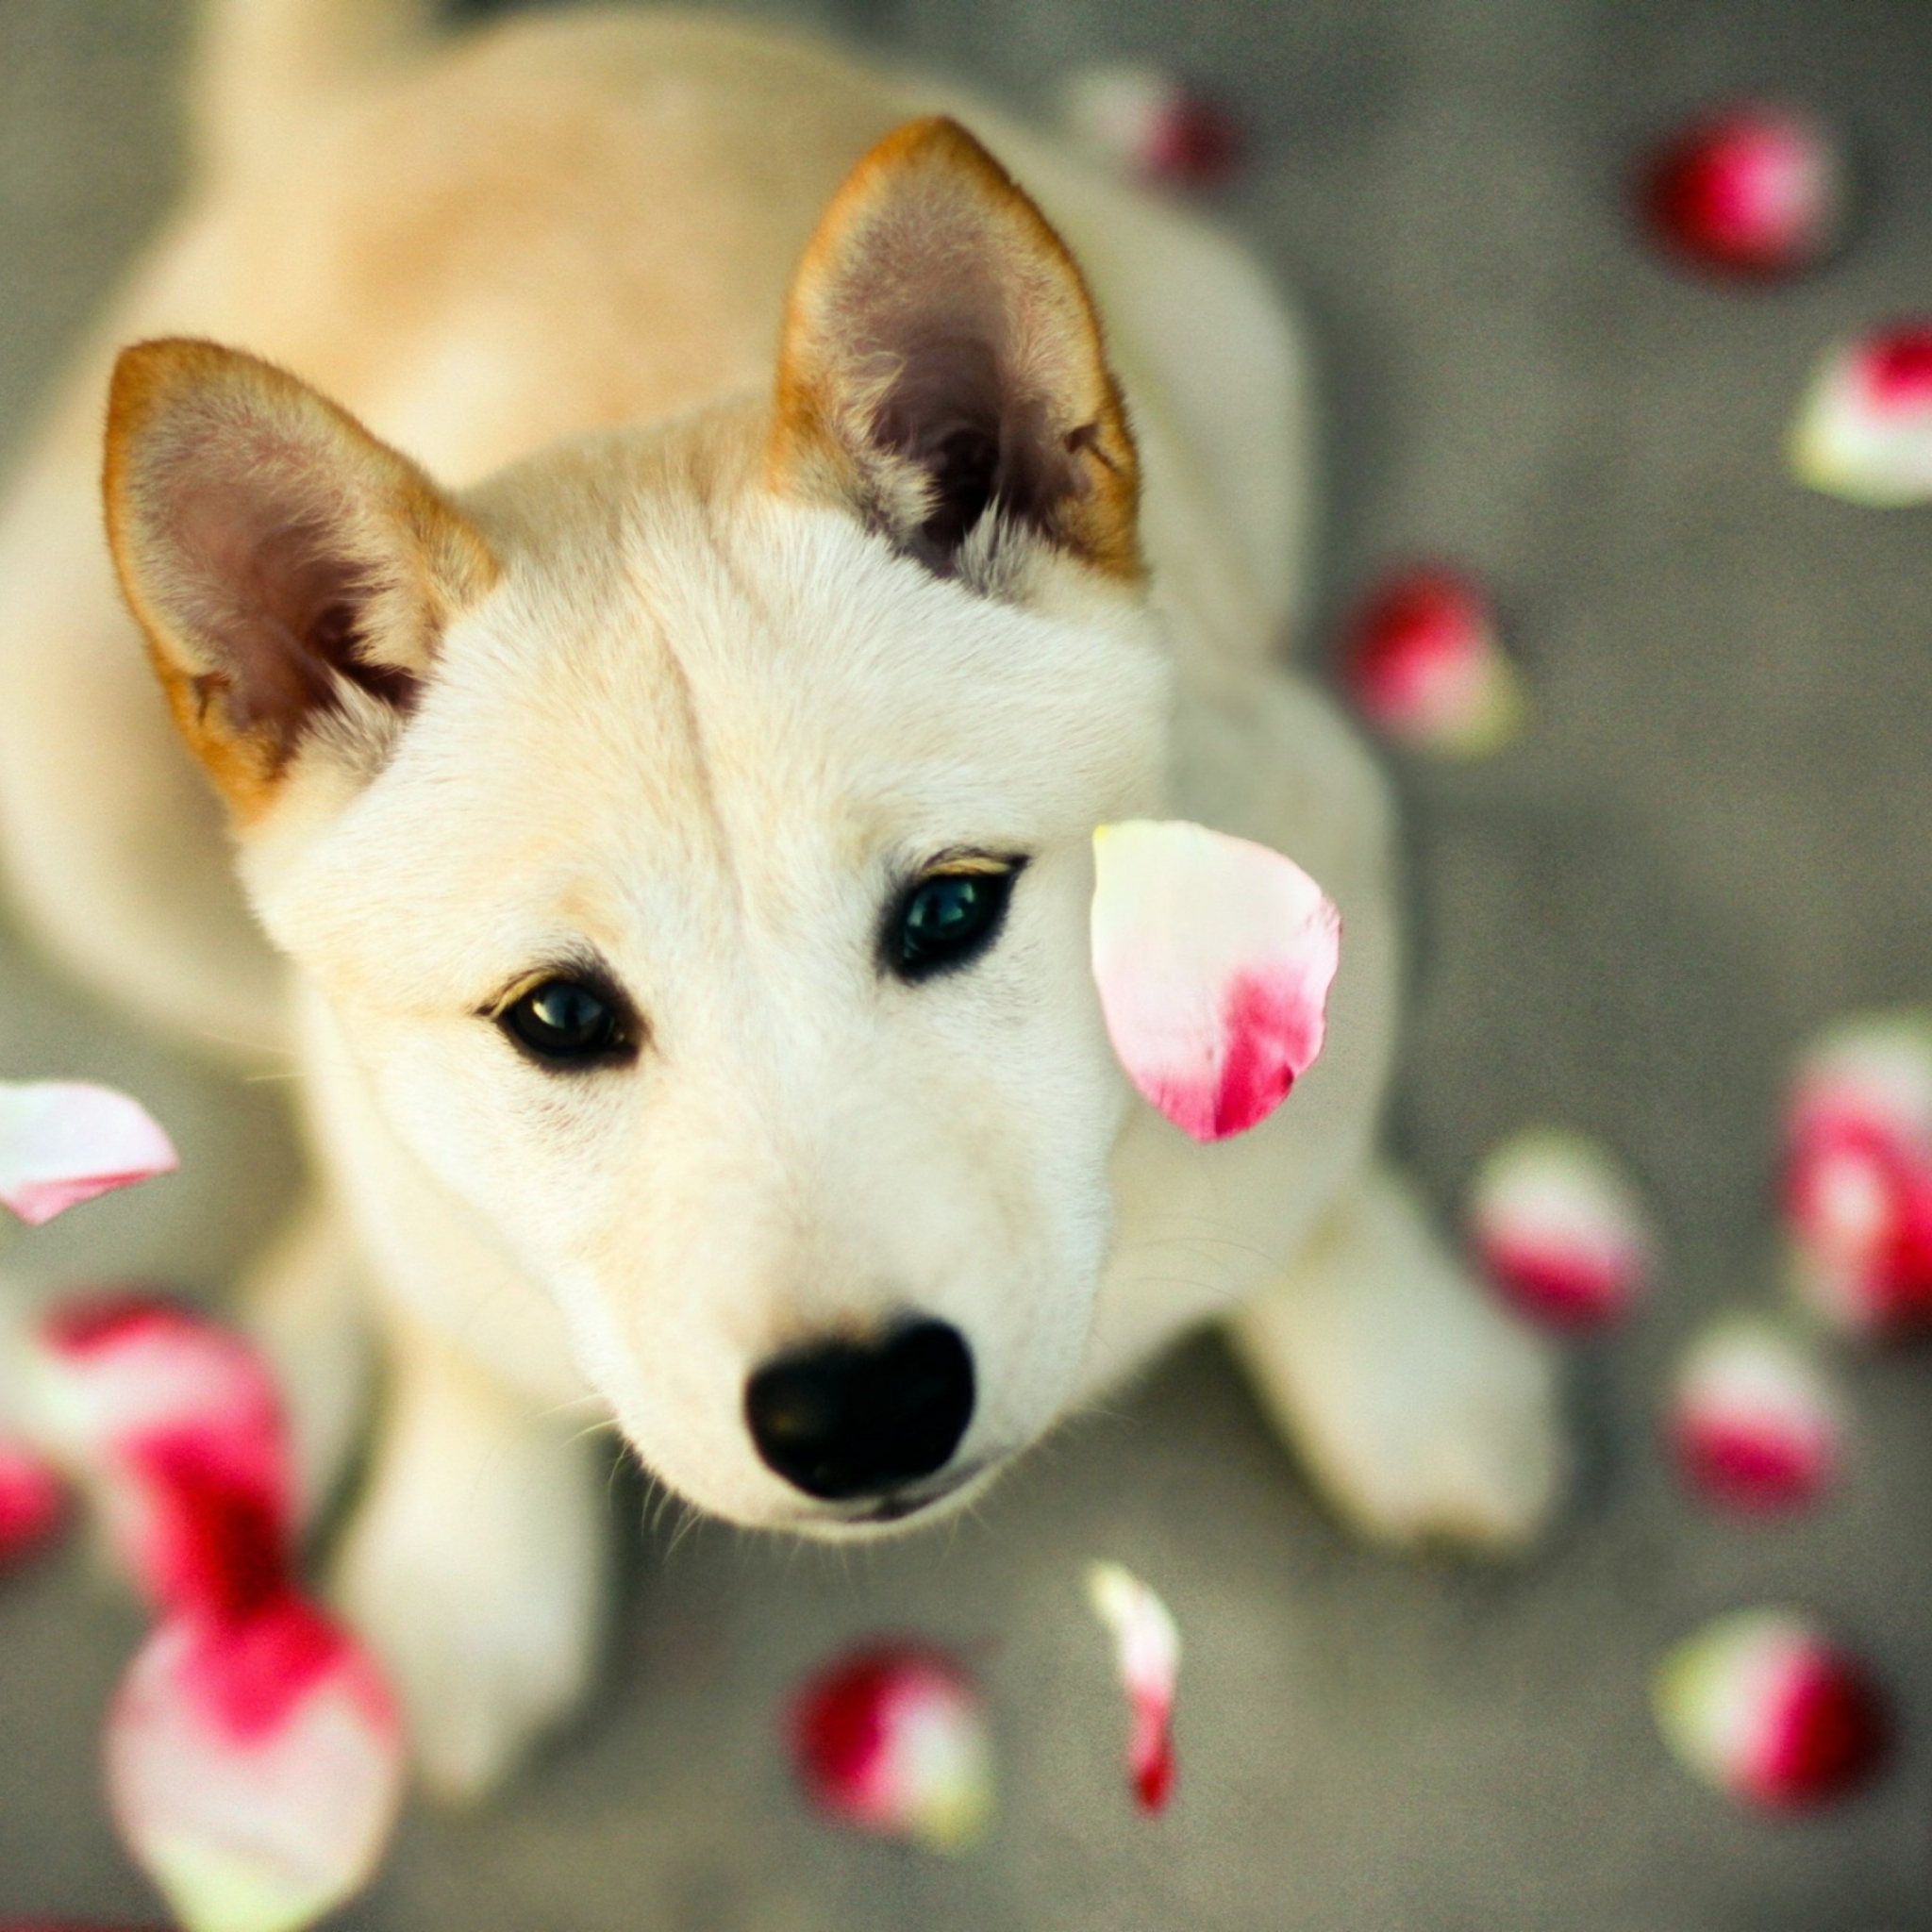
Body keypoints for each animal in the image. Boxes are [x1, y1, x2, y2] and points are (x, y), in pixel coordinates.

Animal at [0, 8, 1560, 1800]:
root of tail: (393, 92)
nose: (863, 1408)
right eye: (558, 1015)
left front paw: (1404, 1371)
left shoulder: (1303, 813)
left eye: (951, 912)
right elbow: (460, 1332)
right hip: (73, 806)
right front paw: (471, 1560)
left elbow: (1307, 1162)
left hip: (1238, 360)